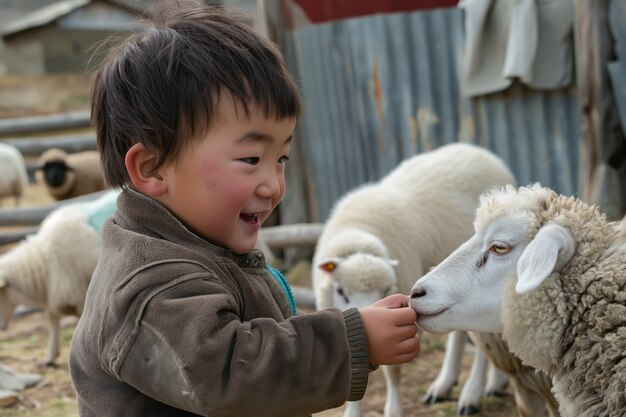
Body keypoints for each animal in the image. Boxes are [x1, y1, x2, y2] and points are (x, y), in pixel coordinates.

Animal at [0, 188, 119, 364]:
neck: (45, 263)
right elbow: (52, 318)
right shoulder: (57, 289)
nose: (1, 328)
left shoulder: (78, 292)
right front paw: (51, 356)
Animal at [310, 142, 516, 416]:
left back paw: (472, 392)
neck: (359, 231)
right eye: (341, 292)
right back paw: (462, 383)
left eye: (386, 289)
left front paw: (394, 410)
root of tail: (477, 150)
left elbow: (393, 373)